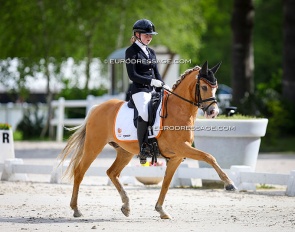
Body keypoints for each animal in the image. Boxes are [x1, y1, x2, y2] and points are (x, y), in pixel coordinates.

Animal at [59, 61, 237, 219]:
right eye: (204, 87)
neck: (178, 111)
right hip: (93, 146)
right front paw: (229, 184)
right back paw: (76, 209)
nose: (214, 112)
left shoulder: (176, 156)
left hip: (124, 152)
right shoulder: (181, 148)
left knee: (112, 172)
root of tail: (97, 108)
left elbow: (166, 183)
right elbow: (209, 157)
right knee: (79, 172)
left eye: (216, 87)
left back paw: (126, 206)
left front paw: (161, 210)